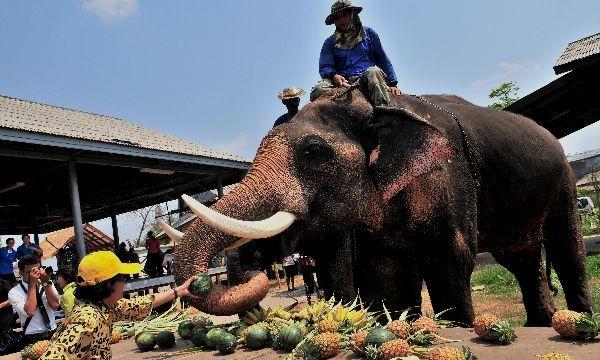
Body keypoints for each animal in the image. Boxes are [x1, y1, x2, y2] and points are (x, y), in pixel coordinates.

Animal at [166, 87, 592, 326]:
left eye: (313, 152)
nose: (257, 270)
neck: (374, 107)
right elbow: (385, 271)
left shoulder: (446, 173)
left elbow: (449, 257)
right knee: (521, 258)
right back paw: (543, 324)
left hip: (563, 180)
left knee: (566, 248)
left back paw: (579, 321)